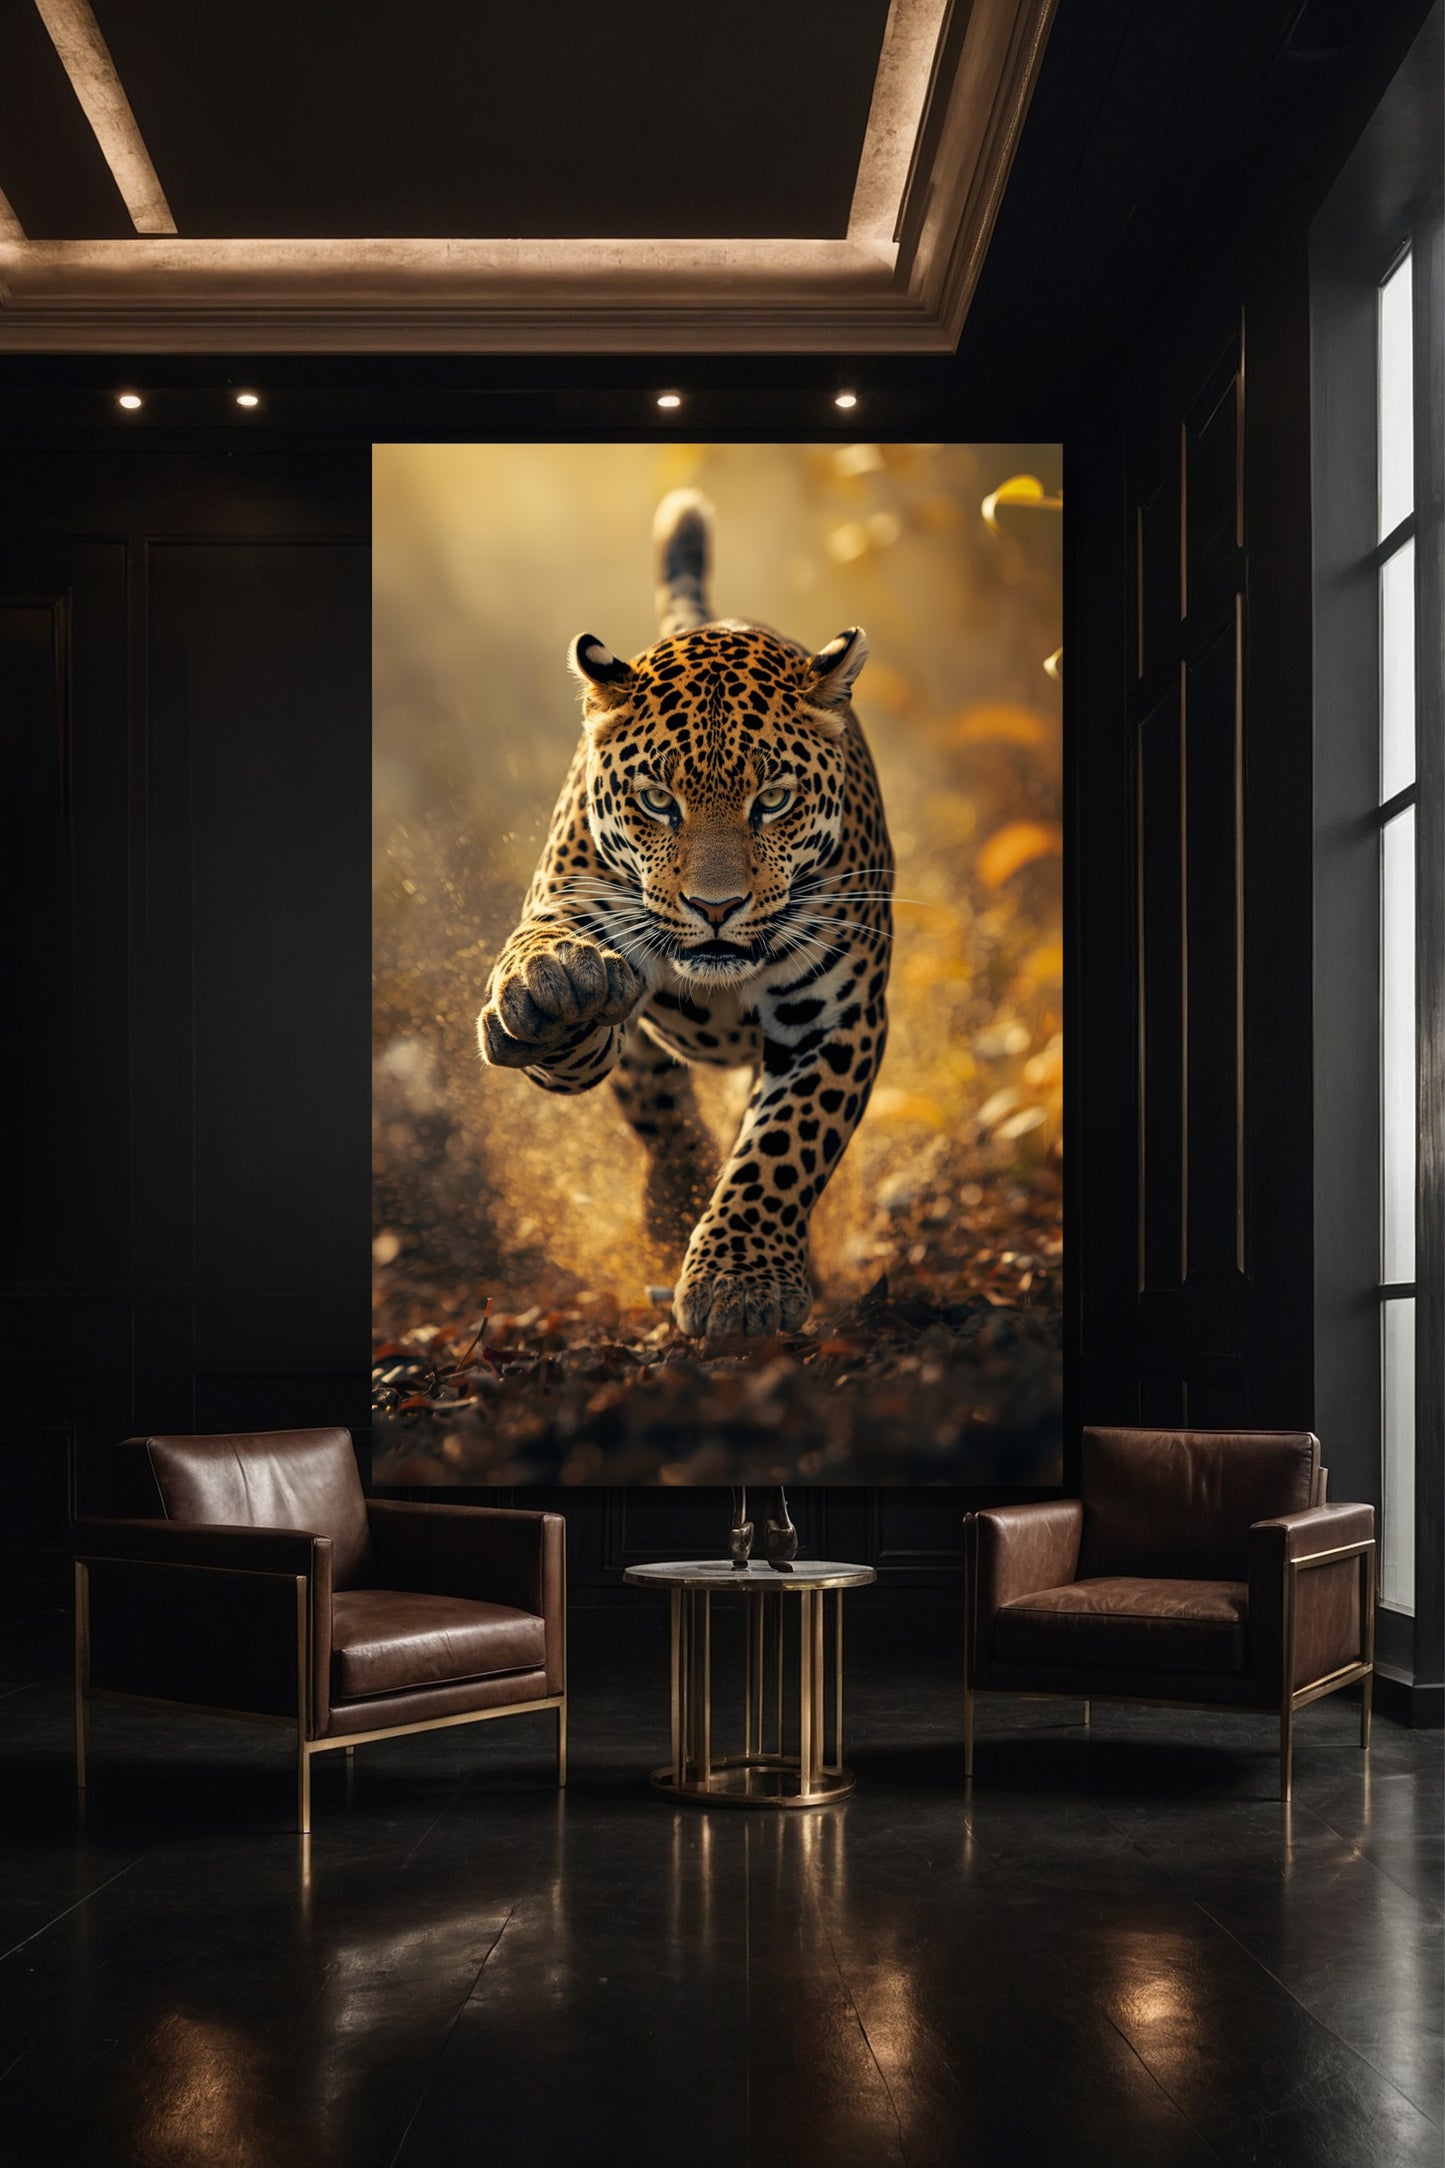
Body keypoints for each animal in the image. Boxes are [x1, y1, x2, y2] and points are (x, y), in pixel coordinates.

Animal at [477, 488, 893, 1339]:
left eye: (773, 800)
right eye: (657, 801)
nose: (714, 907)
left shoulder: (835, 1019)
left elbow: (783, 1146)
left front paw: (740, 1282)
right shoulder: (570, 896)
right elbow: (558, 986)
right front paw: (553, 995)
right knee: (654, 1096)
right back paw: (672, 1199)